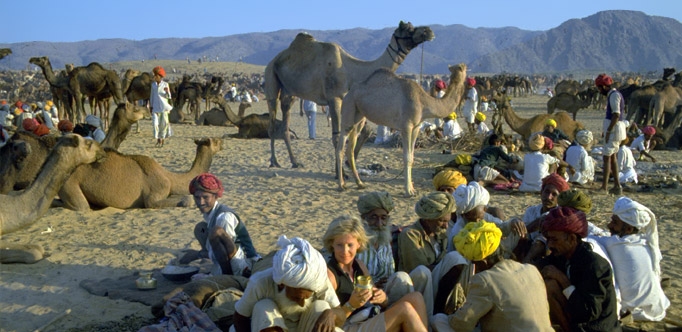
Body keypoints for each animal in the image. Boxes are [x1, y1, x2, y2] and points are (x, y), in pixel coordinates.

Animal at [58, 136, 222, 209]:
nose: (223, 142)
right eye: (215, 141)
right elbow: (187, 199)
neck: (170, 178)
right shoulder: (154, 194)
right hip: (68, 184)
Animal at [260, 20, 430, 174]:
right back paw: (274, 161)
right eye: (408, 29)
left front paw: (348, 164)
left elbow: (361, 131)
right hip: (270, 77)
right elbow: (337, 137)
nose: (428, 31)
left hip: (289, 92)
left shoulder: (348, 100)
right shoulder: (334, 98)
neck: (352, 71)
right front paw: (340, 173)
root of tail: (274, 60)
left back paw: (295, 162)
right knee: (271, 122)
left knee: (284, 124)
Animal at [336, 63, 464, 196]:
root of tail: (348, 93)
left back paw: (359, 183)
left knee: (350, 148)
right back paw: (341, 185)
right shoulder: (406, 126)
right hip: (348, 107)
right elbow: (406, 157)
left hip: (359, 116)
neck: (423, 102)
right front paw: (408, 191)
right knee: (340, 147)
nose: (463, 66)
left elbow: (411, 157)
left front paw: (412, 189)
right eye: (462, 68)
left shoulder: (416, 127)